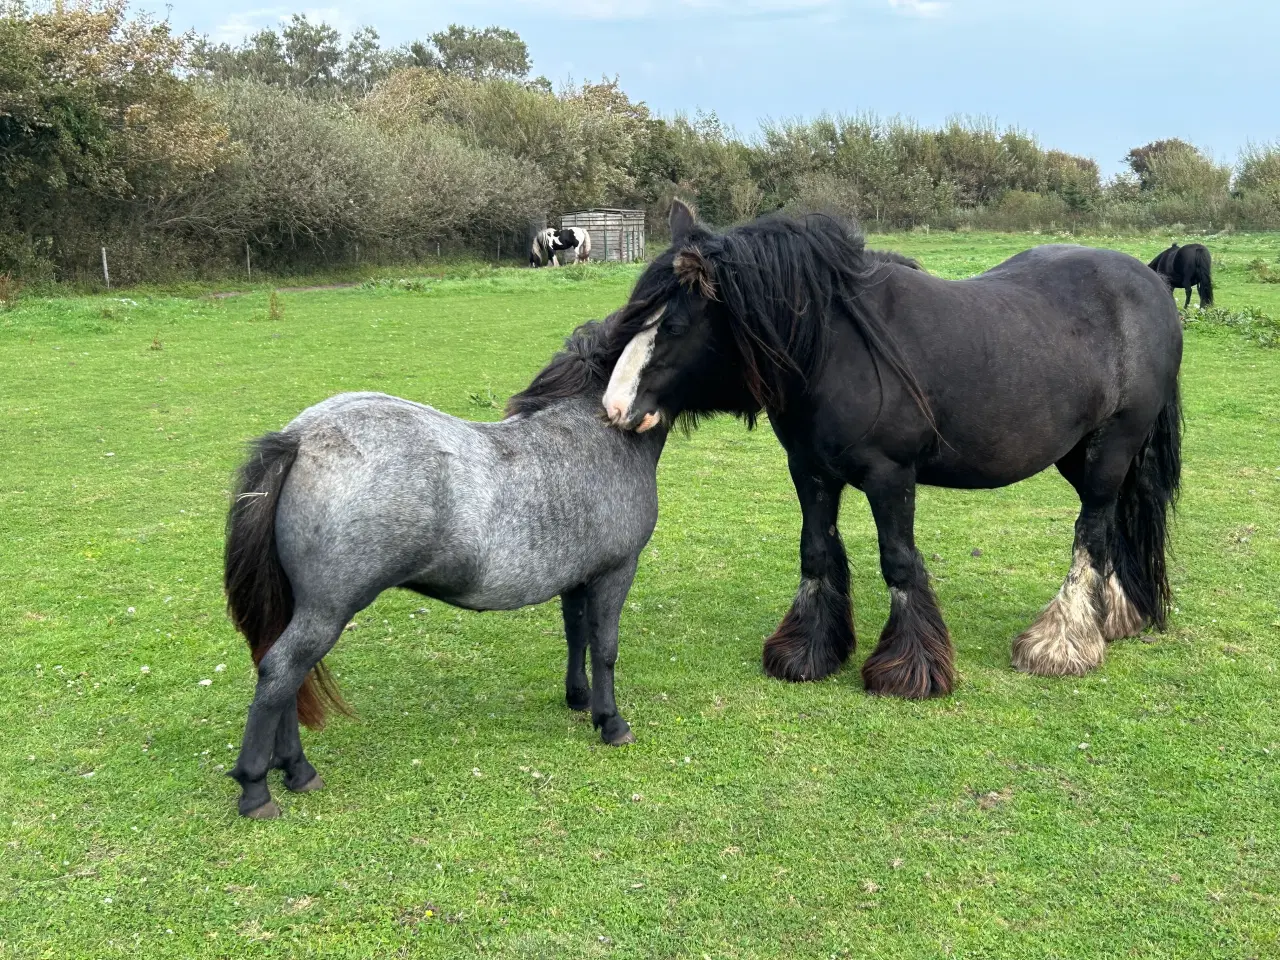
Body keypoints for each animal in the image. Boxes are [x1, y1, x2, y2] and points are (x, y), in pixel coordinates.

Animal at [599, 203, 1177, 701]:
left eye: (673, 325)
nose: (616, 406)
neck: (833, 349)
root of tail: (1152, 283)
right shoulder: (809, 471)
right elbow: (815, 551)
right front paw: (808, 650)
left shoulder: (890, 476)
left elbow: (899, 562)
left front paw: (909, 667)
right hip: (1079, 455)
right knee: (1113, 523)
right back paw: (1115, 616)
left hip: (1111, 447)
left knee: (1092, 530)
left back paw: (1062, 641)